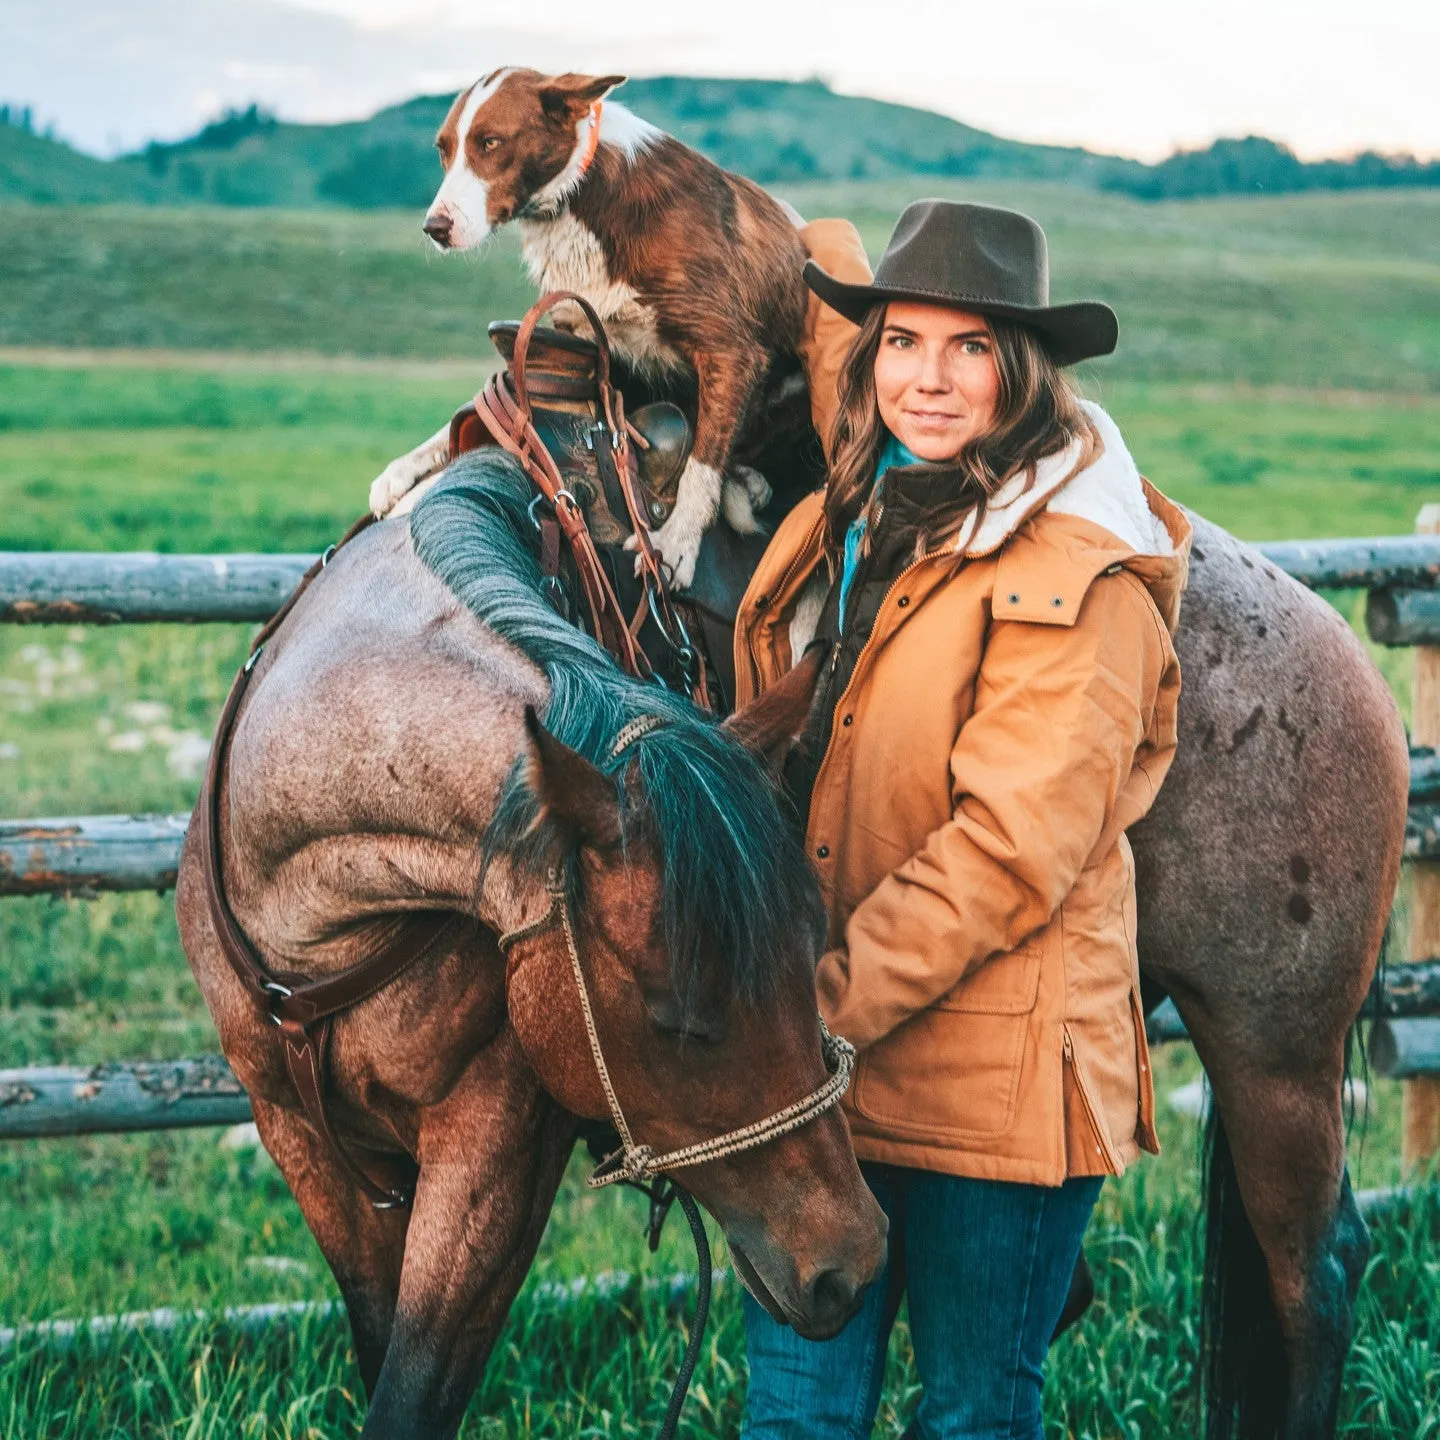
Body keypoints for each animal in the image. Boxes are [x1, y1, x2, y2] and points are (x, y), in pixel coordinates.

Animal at [169, 452, 887, 1440]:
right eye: (677, 1020)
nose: (850, 1261)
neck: (317, 918)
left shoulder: (493, 1155)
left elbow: (415, 1384)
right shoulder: (303, 1144)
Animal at [371, 70, 812, 587]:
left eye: (491, 142)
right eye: (443, 150)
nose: (434, 227)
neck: (579, 195)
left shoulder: (730, 351)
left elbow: (701, 466)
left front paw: (677, 544)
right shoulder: (585, 343)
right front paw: (404, 468)